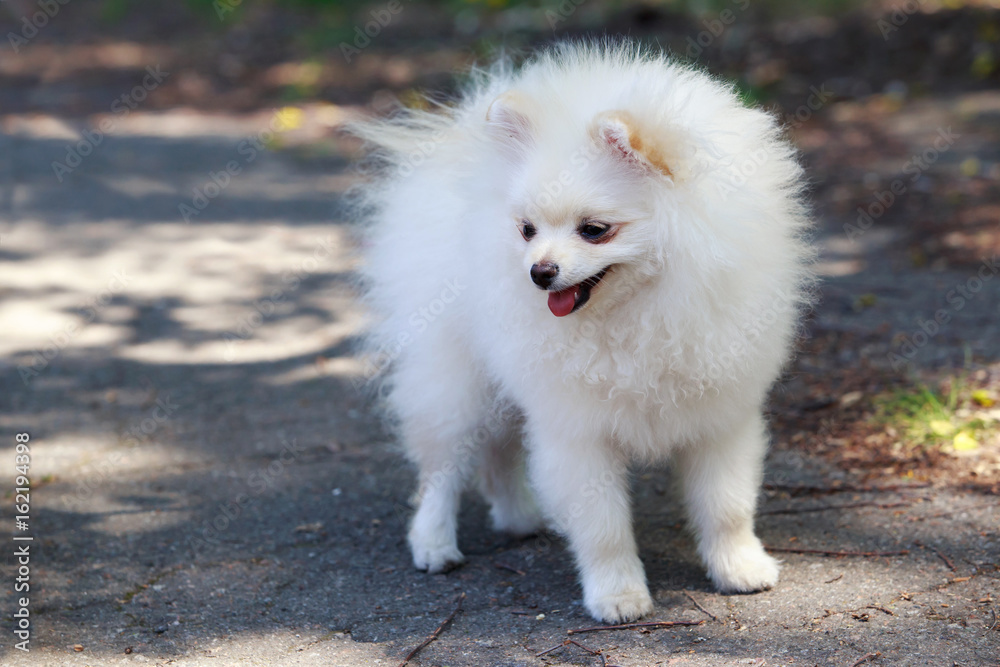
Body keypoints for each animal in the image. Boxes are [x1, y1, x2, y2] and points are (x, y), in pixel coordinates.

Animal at [352, 41, 812, 628]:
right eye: (527, 229)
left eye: (595, 230)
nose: (539, 271)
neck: (638, 312)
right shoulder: (578, 428)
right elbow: (603, 525)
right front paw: (617, 594)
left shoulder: (721, 413)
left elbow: (726, 504)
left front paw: (739, 567)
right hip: (456, 378)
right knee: (443, 466)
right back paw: (433, 542)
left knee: (498, 451)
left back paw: (520, 517)